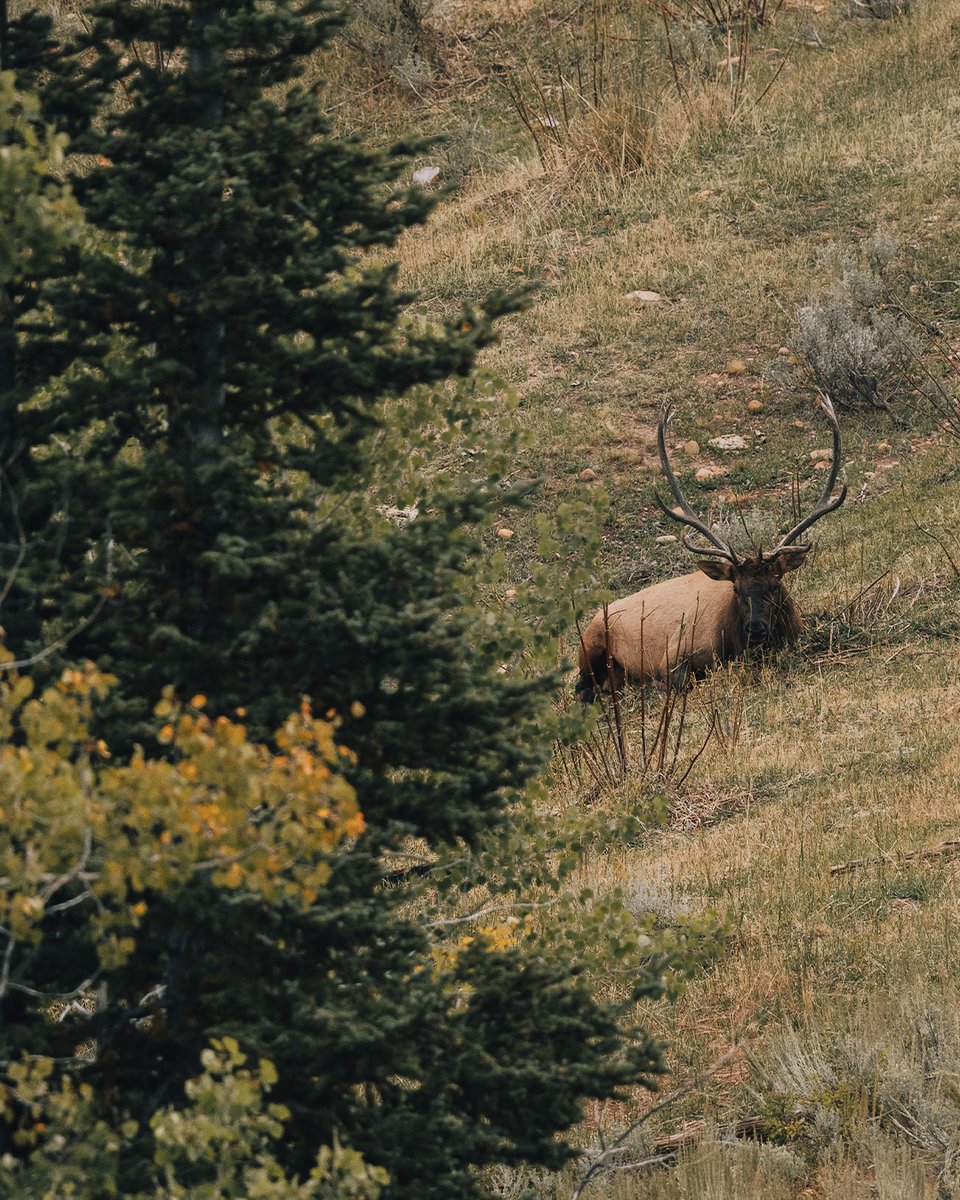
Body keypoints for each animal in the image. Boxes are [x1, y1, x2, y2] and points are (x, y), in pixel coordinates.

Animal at [576, 400, 846, 701]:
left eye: (775, 585)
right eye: (736, 588)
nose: (756, 628)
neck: (731, 643)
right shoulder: (673, 654)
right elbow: (681, 682)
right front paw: (652, 685)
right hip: (589, 644)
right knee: (582, 687)